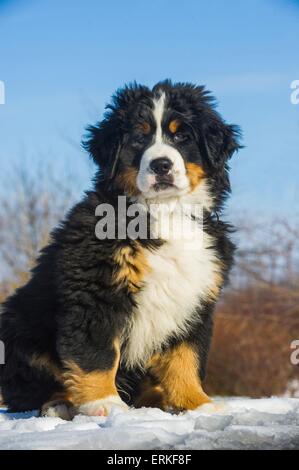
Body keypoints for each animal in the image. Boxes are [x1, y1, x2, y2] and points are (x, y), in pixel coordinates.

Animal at [0, 81, 241, 418]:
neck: (164, 213)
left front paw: (198, 403)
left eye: (182, 136)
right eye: (139, 138)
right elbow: (98, 354)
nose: (161, 165)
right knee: (30, 388)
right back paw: (60, 404)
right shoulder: (97, 292)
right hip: (21, 327)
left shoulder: (195, 301)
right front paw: (104, 402)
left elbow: (186, 358)